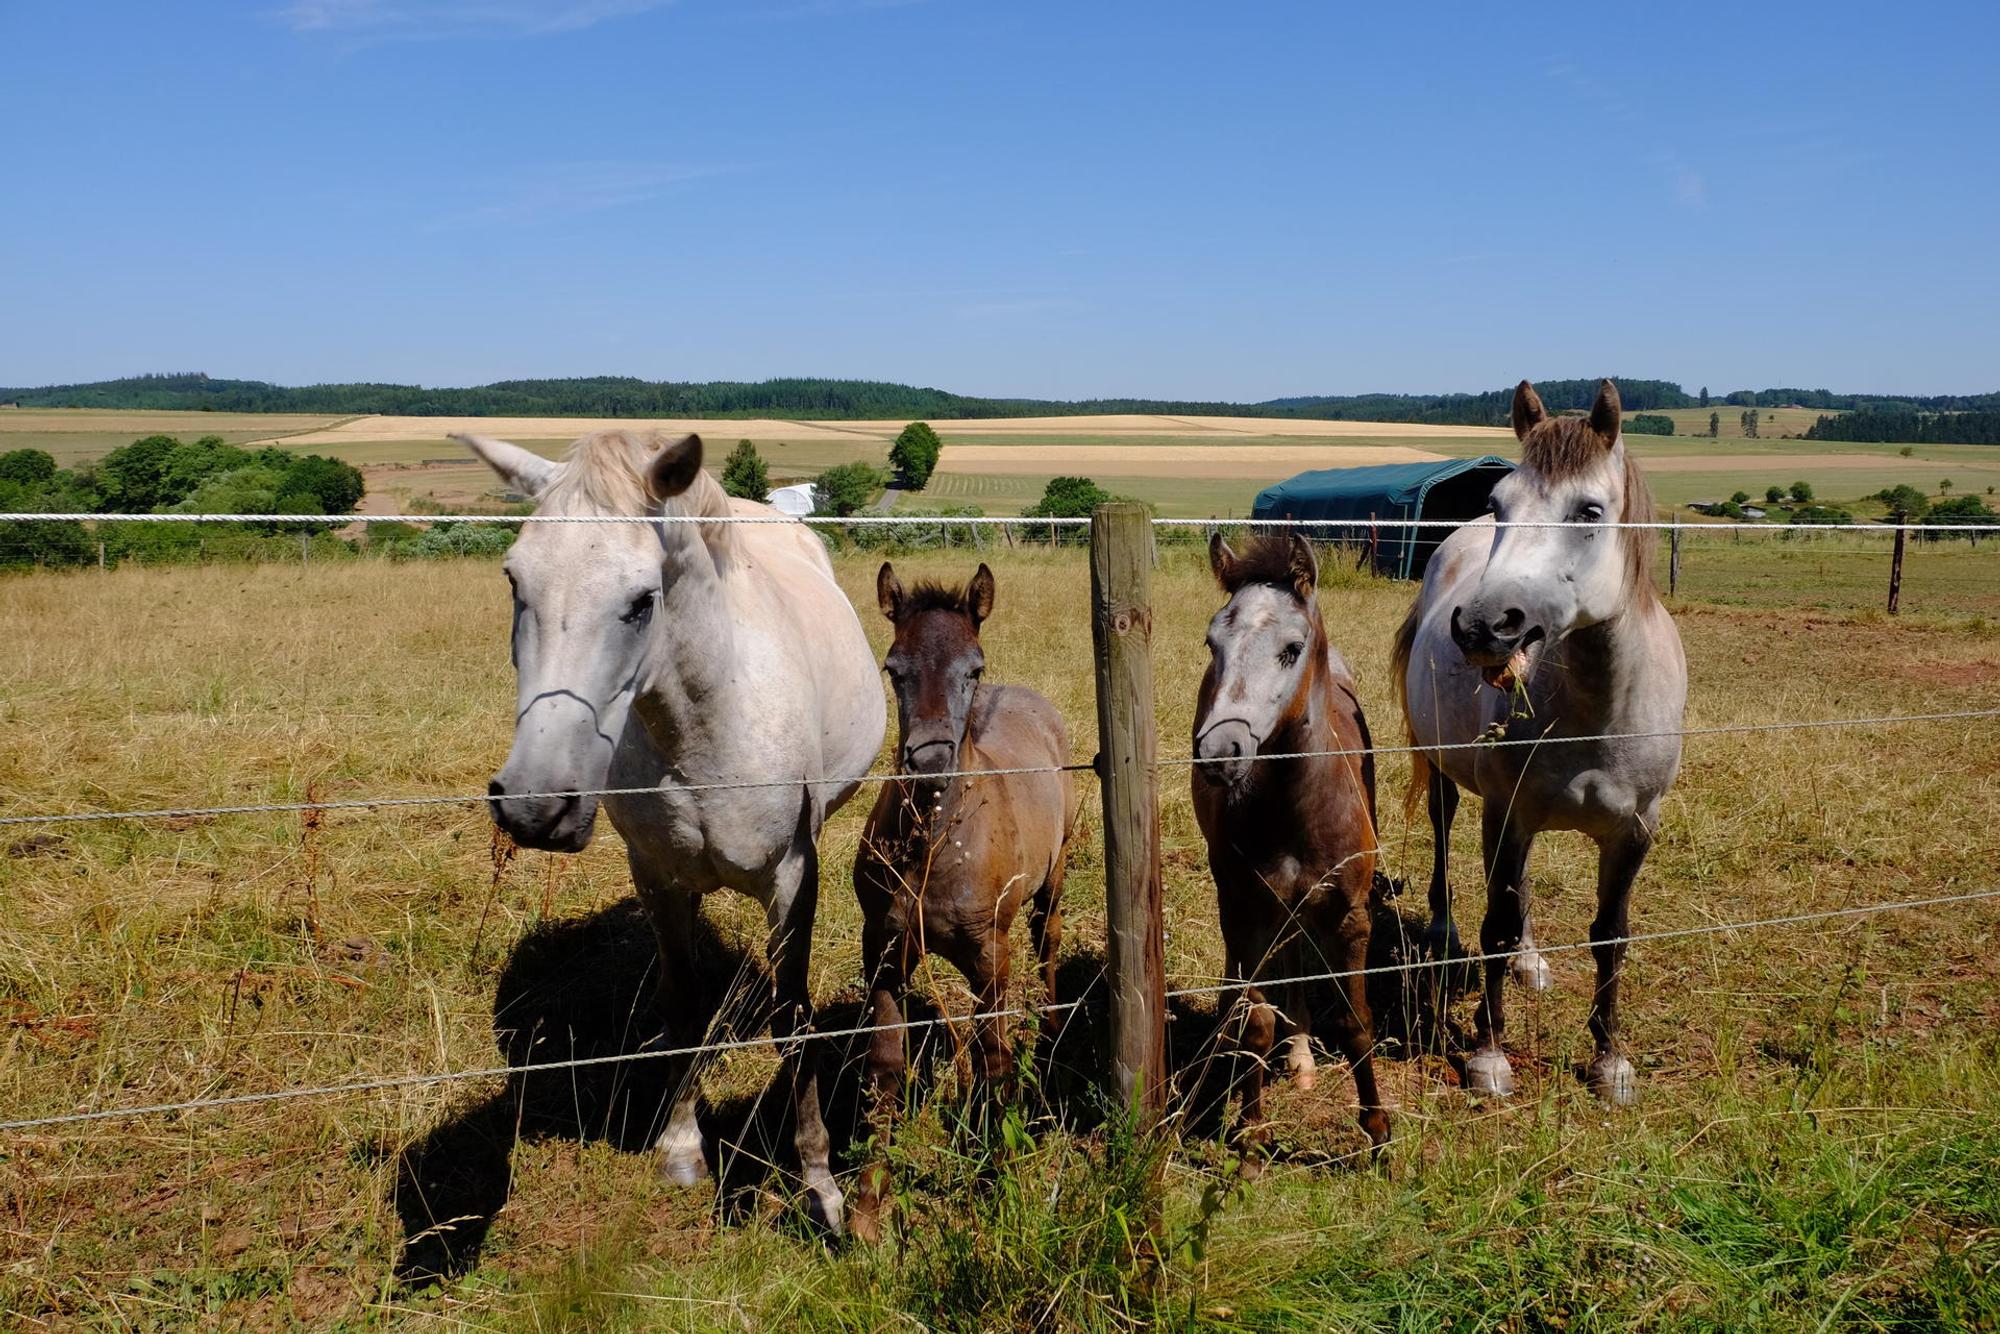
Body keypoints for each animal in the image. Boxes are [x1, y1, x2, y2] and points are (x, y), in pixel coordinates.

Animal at [457, 428, 886, 1232]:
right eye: (513, 581)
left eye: (640, 600)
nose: (534, 805)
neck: (706, 723)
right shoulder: (657, 879)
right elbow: (682, 1007)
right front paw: (683, 1147)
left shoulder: (793, 879)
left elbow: (794, 1019)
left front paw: (820, 1183)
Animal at [848, 562, 1079, 1242]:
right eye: (893, 668)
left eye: (973, 668)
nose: (929, 761)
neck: (934, 848)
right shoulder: (885, 951)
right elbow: (886, 1065)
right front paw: (868, 1206)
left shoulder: (989, 956)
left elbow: (996, 1059)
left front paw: (998, 1183)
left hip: (1054, 876)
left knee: (1048, 937)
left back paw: (1050, 1027)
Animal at [1191, 532, 1390, 1167]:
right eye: (1212, 643)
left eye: (1291, 648)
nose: (1219, 752)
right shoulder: (1247, 909)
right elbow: (1257, 1022)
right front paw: (1252, 1135)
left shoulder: (1351, 914)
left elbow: (1355, 1019)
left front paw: (1378, 1130)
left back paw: (1301, 1057)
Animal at [1391, 379, 1686, 1105]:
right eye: (1499, 504)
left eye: (1590, 510)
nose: (1483, 626)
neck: (1598, 712)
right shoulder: (1507, 813)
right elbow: (1494, 928)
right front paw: (1489, 1056)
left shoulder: (1636, 828)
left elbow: (1611, 936)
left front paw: (1611, 1062)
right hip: (1450, 779)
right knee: (1445, 830)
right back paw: (1444, 929)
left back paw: (1531, 963)